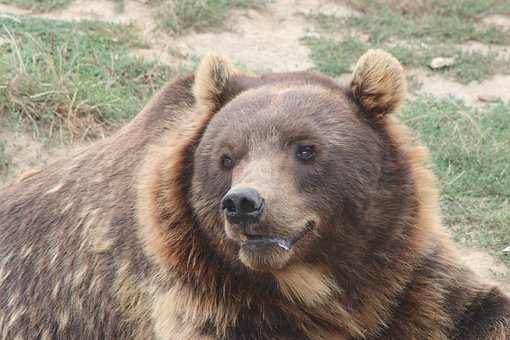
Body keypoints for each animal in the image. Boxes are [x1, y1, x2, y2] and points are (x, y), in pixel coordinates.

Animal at [0, 49, 508, 338]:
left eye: (306, 149)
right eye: (227, 158)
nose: (244, 203)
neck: (316, 283)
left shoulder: (401, 266)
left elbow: (477, 307)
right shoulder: (208, 296)